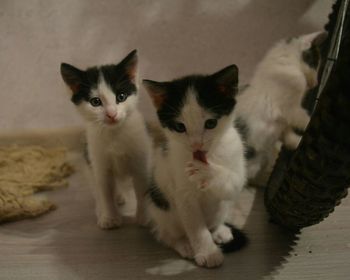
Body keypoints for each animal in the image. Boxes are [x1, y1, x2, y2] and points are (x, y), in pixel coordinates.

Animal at [59, 49, 152, 230]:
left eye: (121, 96)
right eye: (95, 102)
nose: (112, 114)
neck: (115, 134)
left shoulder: (140, 160)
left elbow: (141, 189)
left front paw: (144, 218)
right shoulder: (99, 163)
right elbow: (104, 191)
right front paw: (109, 218)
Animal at [142, 64, 246, 268]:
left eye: (211, 123)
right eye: (180, 127)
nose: (196, 144)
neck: (207, 154)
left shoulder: (237, 165)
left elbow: (233, 181)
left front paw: (209, 174)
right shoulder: (183, 193)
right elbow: (196, 227)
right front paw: (208, 252)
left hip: (222, 208)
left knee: (216, 217)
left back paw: (220, 230)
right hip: (162, 211)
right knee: (165, 235)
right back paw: (184, 244)